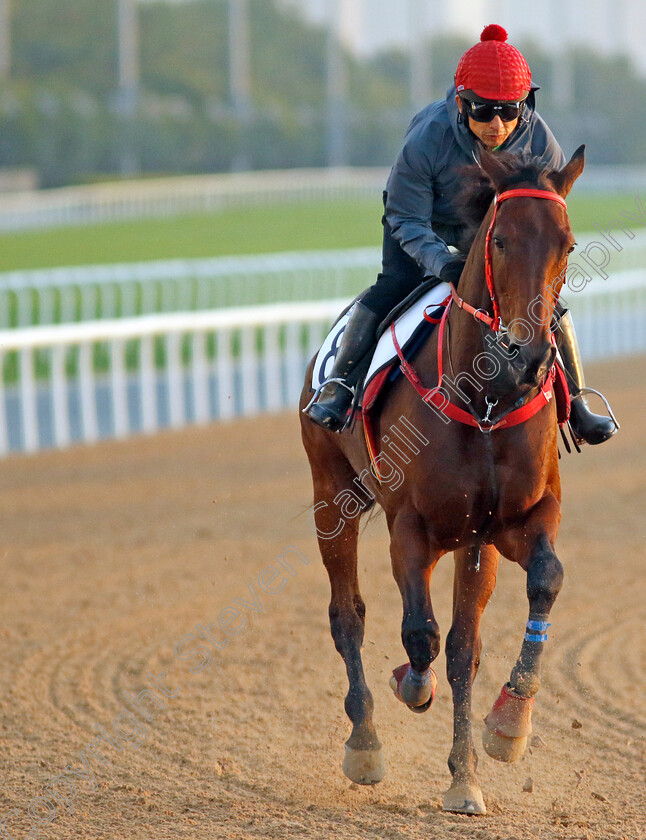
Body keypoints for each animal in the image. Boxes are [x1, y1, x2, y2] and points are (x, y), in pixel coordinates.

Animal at [300, 146, 588, 812]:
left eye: (566, 242)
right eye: (501, 240)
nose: (527, 356)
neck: (483, 396)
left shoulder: (515, 522)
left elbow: (537, 586)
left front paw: (506, 728)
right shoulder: (411, 528)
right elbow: (420, 635)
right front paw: (410, 686)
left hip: (472, 543)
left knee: (463, 646)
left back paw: (463, 775)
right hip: (332, 495)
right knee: (348, 616)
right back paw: (365, 744)